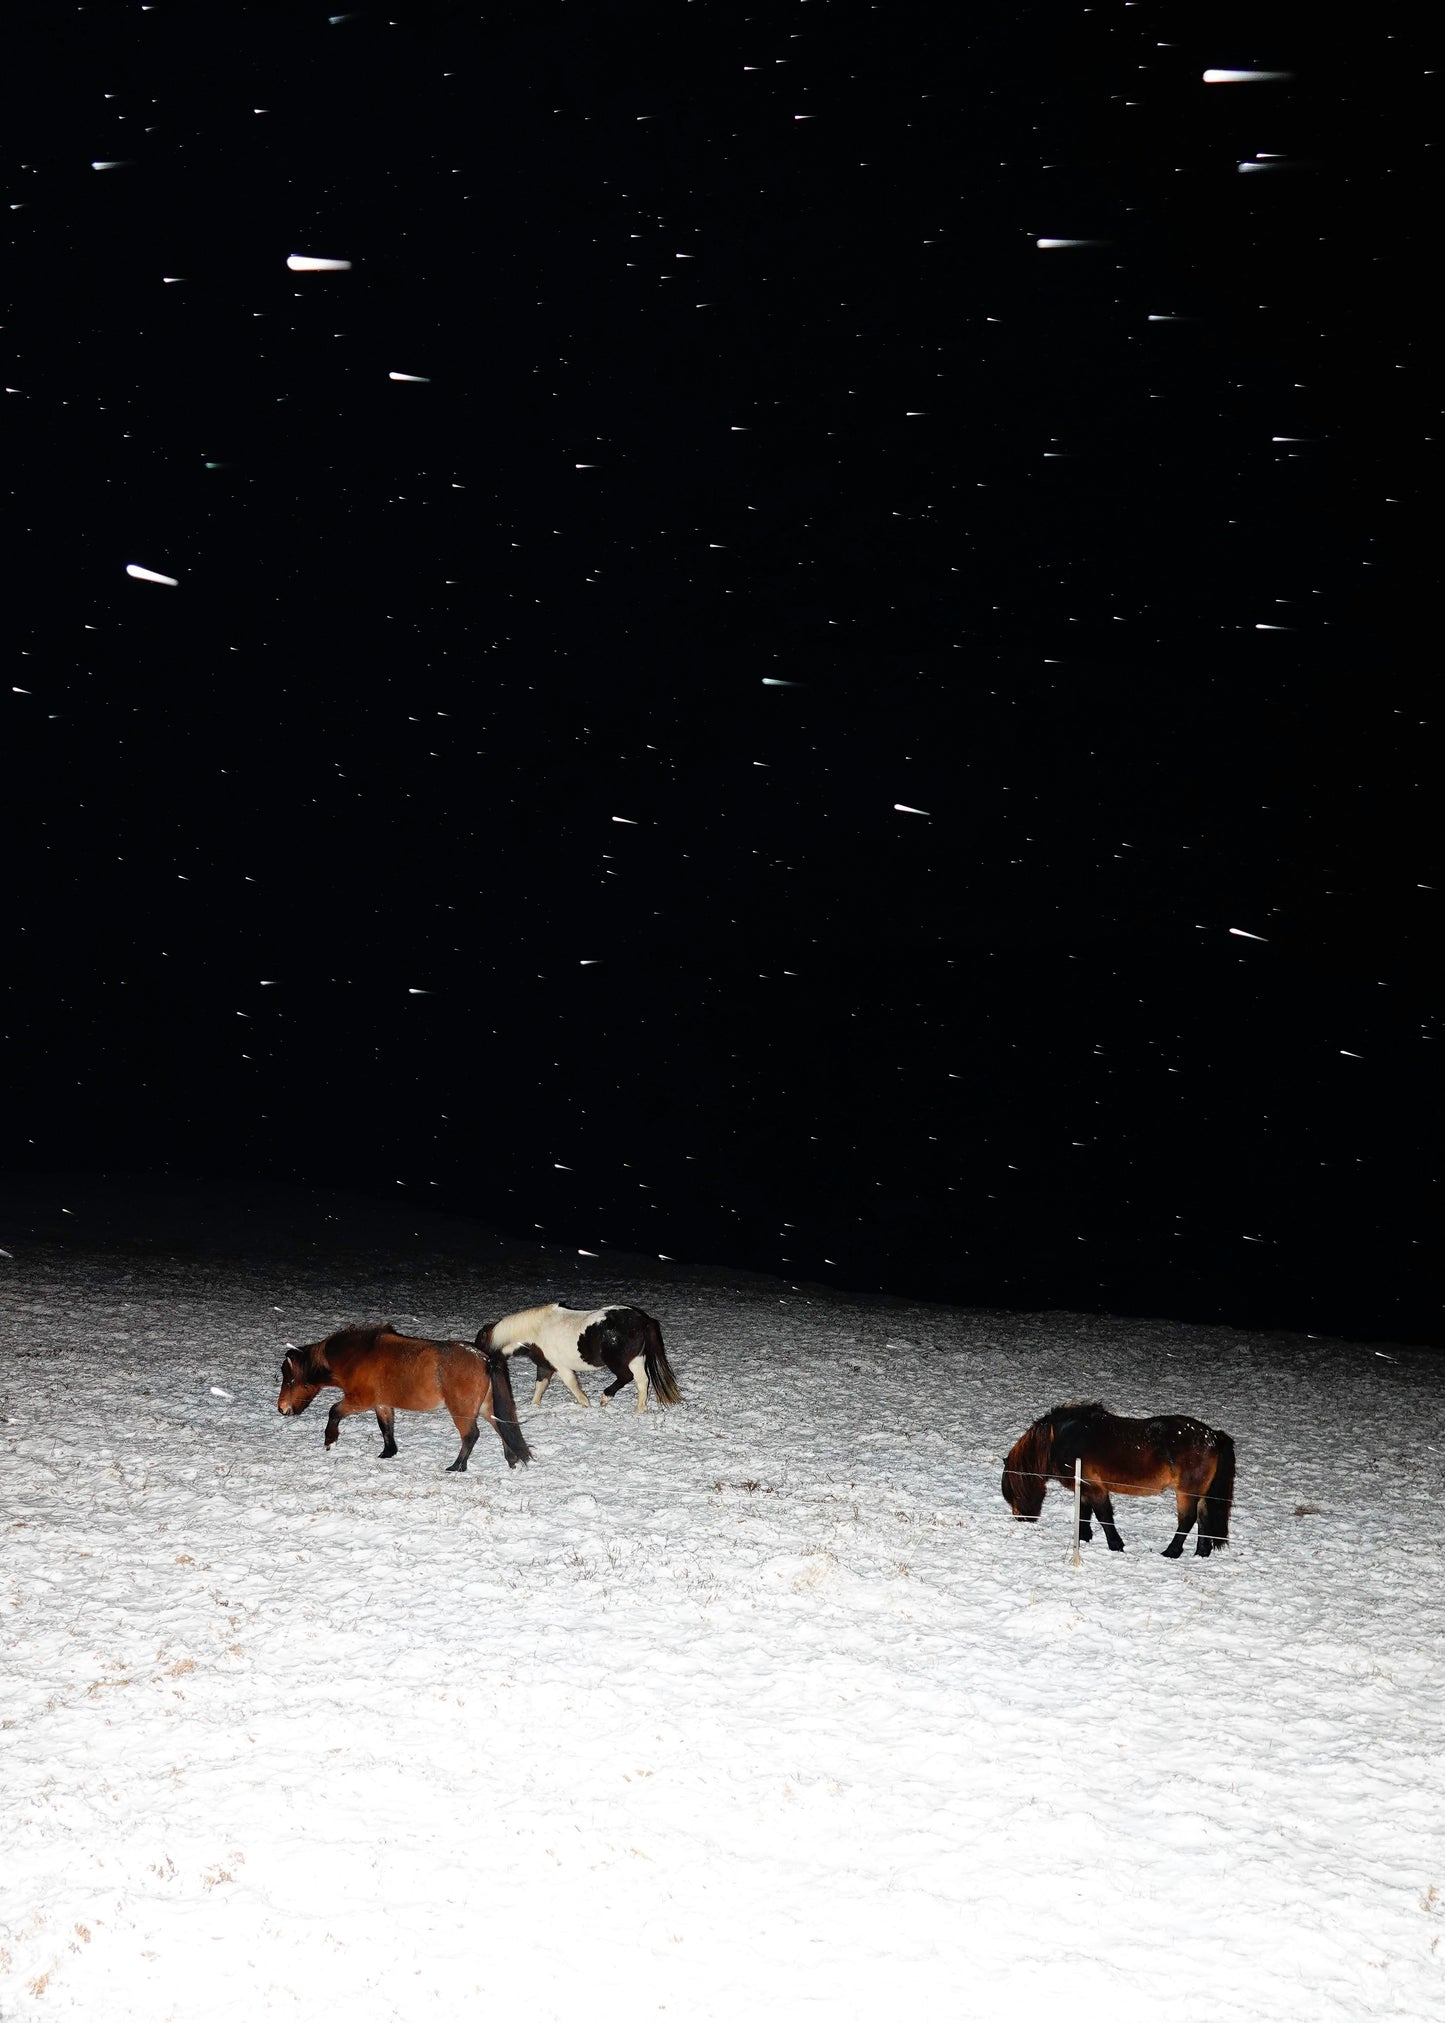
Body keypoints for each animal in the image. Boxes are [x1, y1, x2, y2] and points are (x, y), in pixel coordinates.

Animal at [275, 1327, 530, 1472]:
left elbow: (334, 1411)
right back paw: (512, 1460)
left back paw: (457, 1467)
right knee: (502, 1429)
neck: (357, 1356)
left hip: (462, 1411)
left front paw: (330, 1440)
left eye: (289, 1380)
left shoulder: (359, 1401)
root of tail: (484, 1358)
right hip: (486, 1407)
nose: (281, 1408)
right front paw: (388, 1453)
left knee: (471, 1435)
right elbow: (386, 1427)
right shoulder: (382, 1404)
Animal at [469, 1302, 680, 1416]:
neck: (536, 1331)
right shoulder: (545, 1366)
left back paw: (606, 1397)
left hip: (619, 1362)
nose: (476, 1362)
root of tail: (642, 1319)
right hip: (636, 1359)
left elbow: (571, 1384)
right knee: (642, 1381)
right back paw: (639, 1409)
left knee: (626, 1377)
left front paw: (585, 1403)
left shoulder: (561, 1367)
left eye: (480, 1342)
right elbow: (540, 1386)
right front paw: (534, 1405)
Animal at [1003, 1399, 1230, 1553]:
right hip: (1200, 1492)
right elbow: (1084, 1512)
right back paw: (1201, 1552)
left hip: (1186, 1492)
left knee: (1188, 1520)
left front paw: (1115, 1545)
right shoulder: (1083, 1487)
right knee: (1203, 1517)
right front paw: (1084, 1537)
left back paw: (1171, 1552)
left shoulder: (1094, 1487)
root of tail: (1213, 1436)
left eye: (1015, 1492)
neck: (1058, 1439)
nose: (1022, 1519)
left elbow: (1104, 1517)